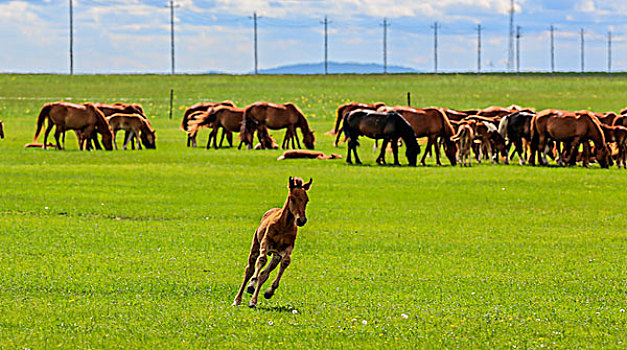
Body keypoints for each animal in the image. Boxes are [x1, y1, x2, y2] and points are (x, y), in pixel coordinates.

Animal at [233, 176, 314, 308]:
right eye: (292, 199)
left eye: (306, 200)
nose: (301, 220)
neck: (284, 225)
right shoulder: (265, 243)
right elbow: (261, 261)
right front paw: (251, 286)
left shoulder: (286, 249)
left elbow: (284, 263)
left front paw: (268, 292)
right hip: (256, 245)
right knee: (250, 269)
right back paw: (238, 299)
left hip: (276, 255)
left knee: (265, 273)